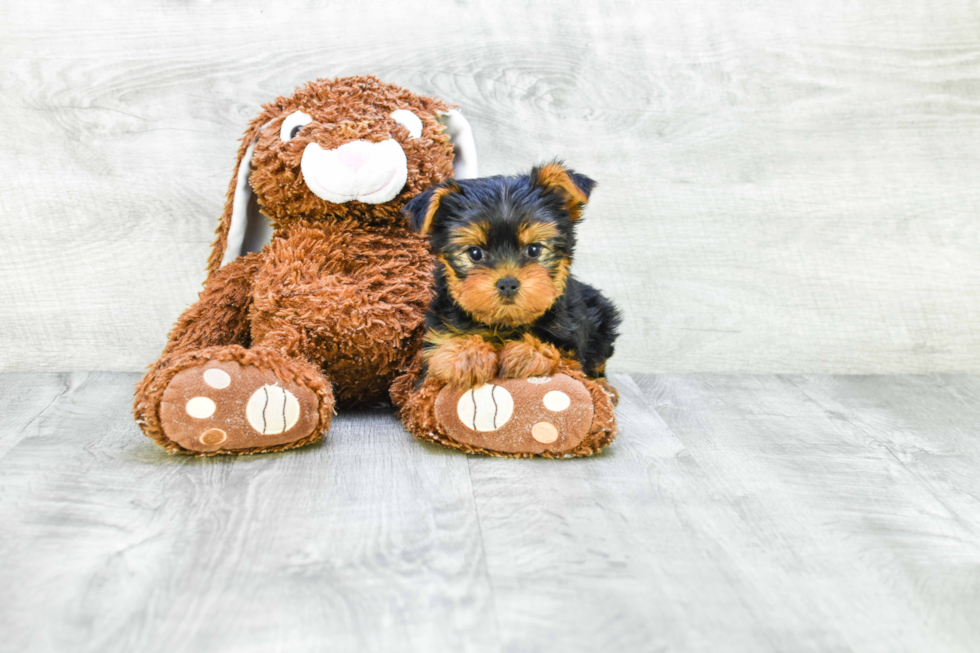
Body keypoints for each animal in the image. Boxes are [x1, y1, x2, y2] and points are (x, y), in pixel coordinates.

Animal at [404, 161, 620, 390]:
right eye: (475, 253)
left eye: (534, 250)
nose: (507, 283)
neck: (504, 324)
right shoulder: (439, 332)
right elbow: (441, 353)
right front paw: (468, 355)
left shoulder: (569, 345)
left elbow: (557, 355)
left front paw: (524, 353)